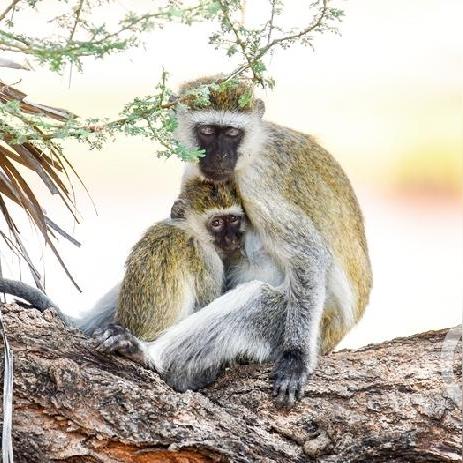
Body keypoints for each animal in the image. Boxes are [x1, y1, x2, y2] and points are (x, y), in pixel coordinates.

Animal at [96, 76, 376, 406]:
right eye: (206, 131)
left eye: (232, 132)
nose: (218, 157)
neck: (252, 150)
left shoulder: (259, 185)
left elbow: (308, 255)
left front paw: (296, 359)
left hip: (313, 326)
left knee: (259, 299)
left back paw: (148, 355)